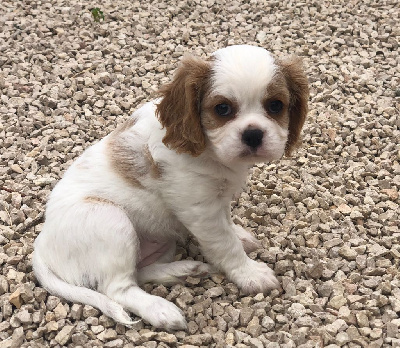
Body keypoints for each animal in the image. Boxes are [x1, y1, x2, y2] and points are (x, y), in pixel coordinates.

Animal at [34, 44, 310, 330]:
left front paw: (241, 235)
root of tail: (42, 243)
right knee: (117, 288)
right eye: (222, 109)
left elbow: (228, 224)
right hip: (110, 220)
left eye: (276, 106)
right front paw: (249, 273)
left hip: (159, 238)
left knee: (139, 272)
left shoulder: (217, 198)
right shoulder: (200, 209)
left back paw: (183, 270)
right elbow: (225, 243)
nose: (253, 134)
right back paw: (160, 309)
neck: (209, 152)